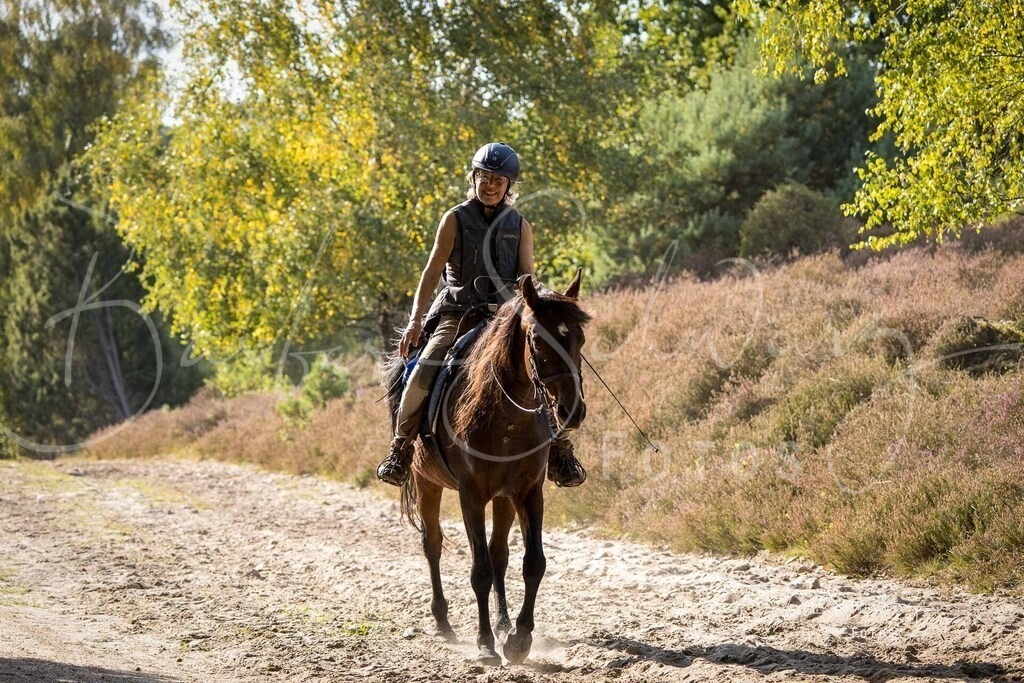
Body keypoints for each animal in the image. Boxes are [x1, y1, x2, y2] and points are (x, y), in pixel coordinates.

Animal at [381, 269, 591, 665]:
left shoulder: (527, 492)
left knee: (499, 555)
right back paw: (443, 623)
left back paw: (503, 623)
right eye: (538, 341)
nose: (572, 411)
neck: (507, 416)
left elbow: (532, 563)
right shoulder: (472, 495)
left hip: (504, 497)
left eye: (580, 339)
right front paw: (484, 644)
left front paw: (519, 638)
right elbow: (478, 570)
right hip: (427, 482)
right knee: (432, 544)